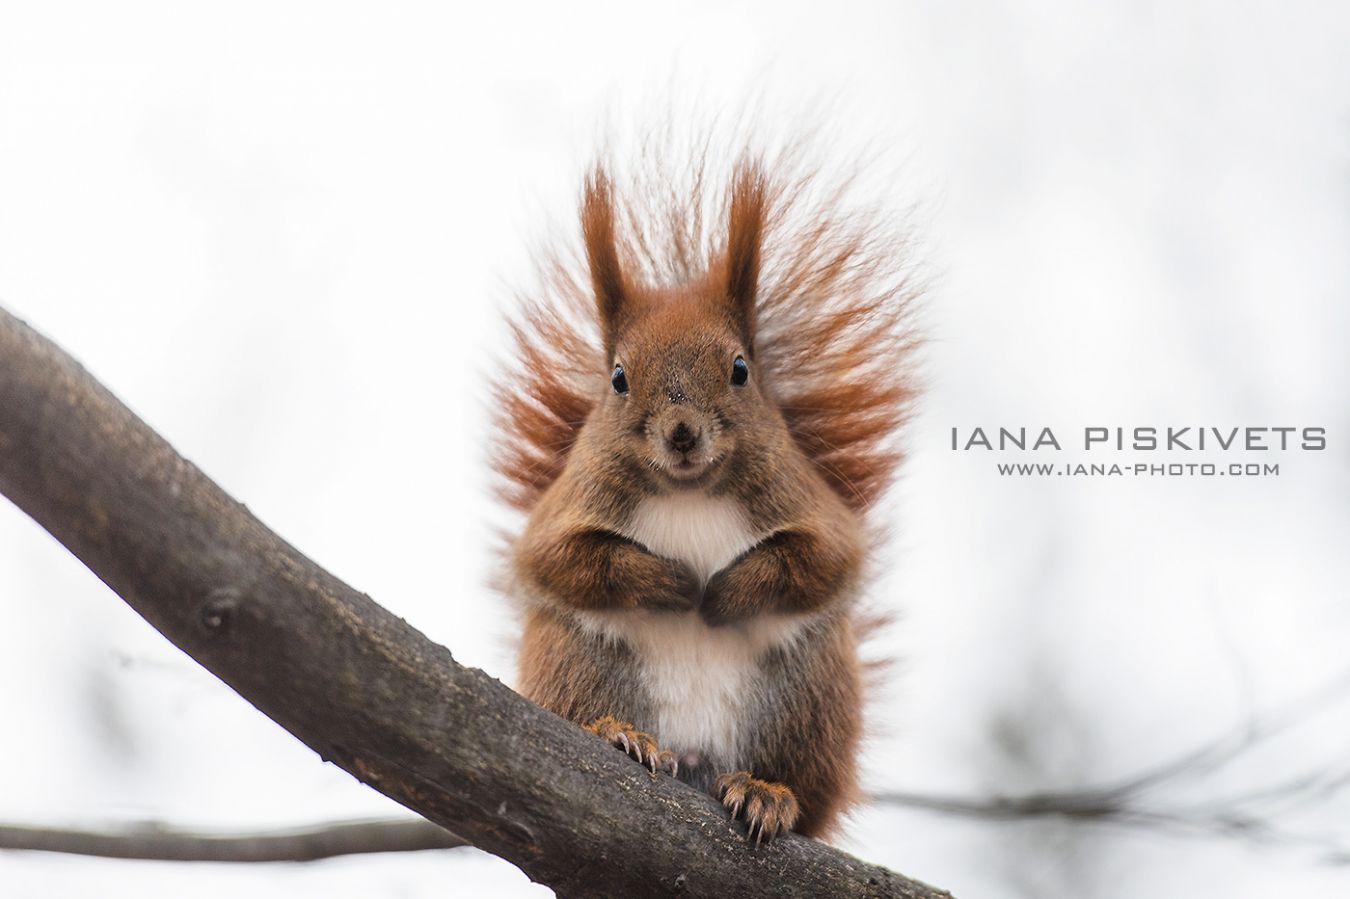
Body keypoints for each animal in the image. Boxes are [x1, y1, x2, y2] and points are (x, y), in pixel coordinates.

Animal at [496, 141, 918, 842]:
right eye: (618, 378)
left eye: (740, 369)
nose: (682, 432)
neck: (688, 490)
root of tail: (695, 758)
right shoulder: (565, 511)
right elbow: (564, 561)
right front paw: (673, 582)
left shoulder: (808, 507)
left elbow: (821, 560)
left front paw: (720, 593)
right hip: (576, 661)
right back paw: (620, 734)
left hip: (809, 697)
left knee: (803, 789)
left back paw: (766, 792)